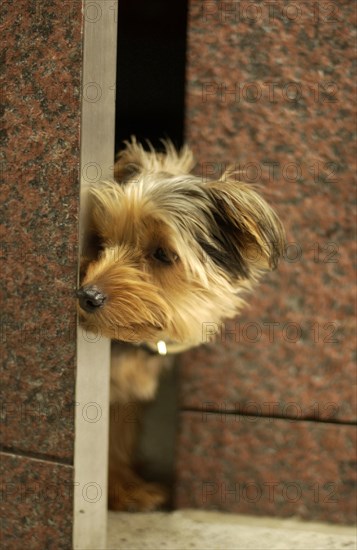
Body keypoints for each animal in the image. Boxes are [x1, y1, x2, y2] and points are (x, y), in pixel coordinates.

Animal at [77, 139, 284, 512]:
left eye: (162, 254)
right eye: (101, 241)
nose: (87, 295)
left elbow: (117, 437)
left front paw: (124, 488)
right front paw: (122, 490)